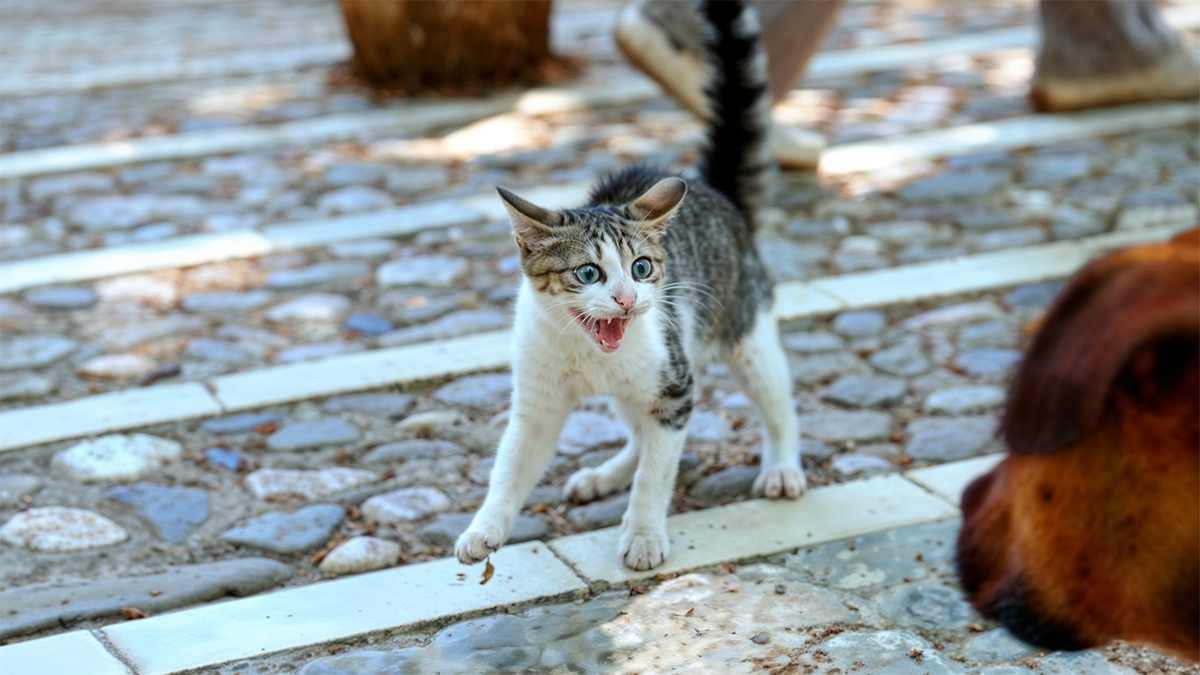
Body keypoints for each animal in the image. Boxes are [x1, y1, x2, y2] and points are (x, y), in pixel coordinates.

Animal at [453, 0, 801, 569]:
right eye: (587, 273)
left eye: (641, 267)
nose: (627, 299)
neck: (588, 356)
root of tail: (713, 191)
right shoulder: (536, 404)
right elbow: (510, 466)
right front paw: (484, 528)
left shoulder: (675, 384)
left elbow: (657, 471)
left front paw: (642, 533)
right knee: (639, 431)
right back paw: (606, 475)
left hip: (746, 335)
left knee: (776, 403)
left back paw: (783, 466)